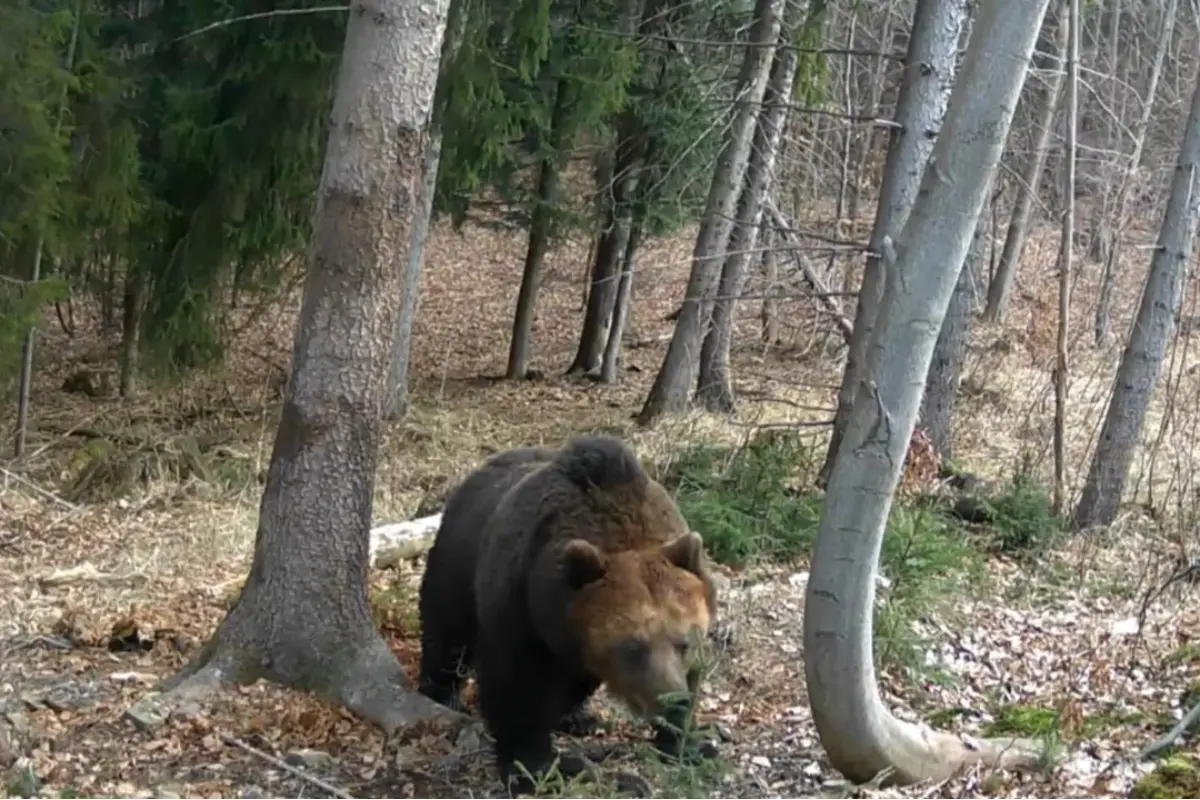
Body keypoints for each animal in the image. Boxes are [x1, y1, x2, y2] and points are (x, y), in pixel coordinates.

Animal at [417, 438, 715, 796]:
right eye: (633, 646)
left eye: (684, 643)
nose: (670, 698)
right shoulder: (519, 607)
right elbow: (516, 688)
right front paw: (538, 768)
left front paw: (689, 743)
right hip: (458, 561)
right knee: (447, 633)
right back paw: (443, 693)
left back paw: (578, 717)